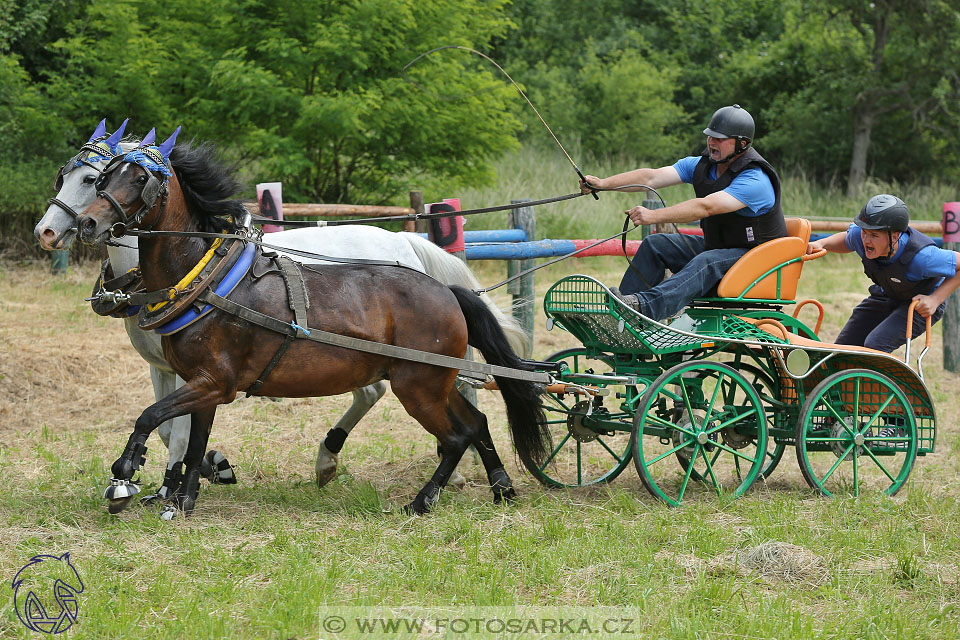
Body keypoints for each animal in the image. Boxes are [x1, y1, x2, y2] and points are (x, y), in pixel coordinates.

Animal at [35, 121, 524, 510]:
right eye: (97, 177)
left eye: (134, 178)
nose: (56, 230)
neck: (201, 280)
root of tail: (441, 286)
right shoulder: (189, 377)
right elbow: (185, 437)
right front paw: (184, 492)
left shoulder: (210, 382)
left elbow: (156, 421)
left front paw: (129, 478)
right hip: (426, 380)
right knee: (472, 421)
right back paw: (499, 485)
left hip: (417, 383)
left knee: (451, 429)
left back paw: (420, 496)